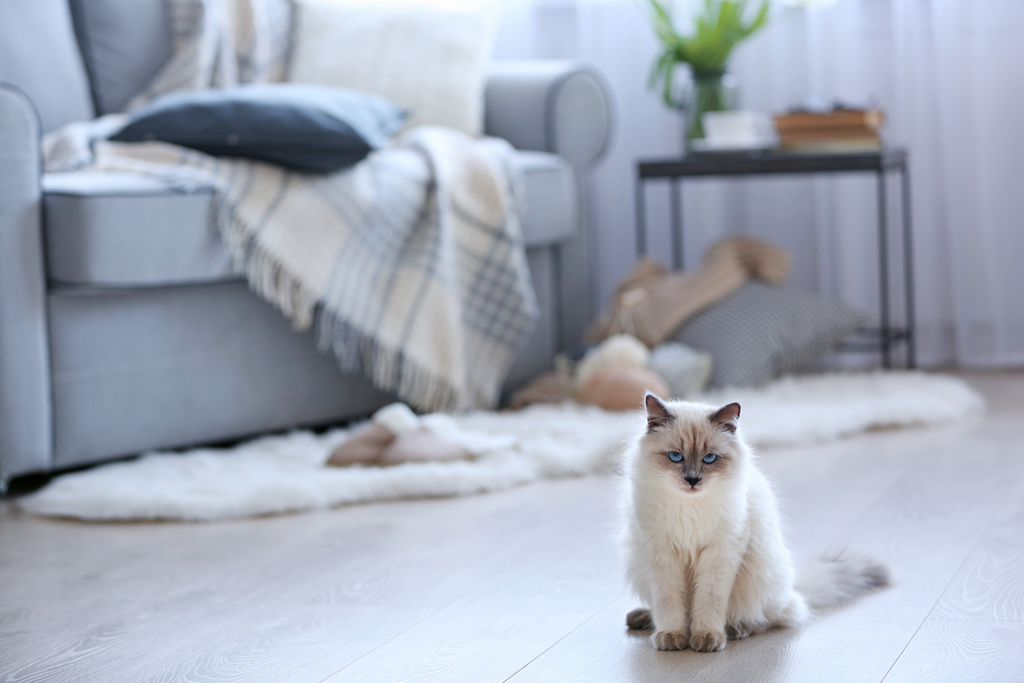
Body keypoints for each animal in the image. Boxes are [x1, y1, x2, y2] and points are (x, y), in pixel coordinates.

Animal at [614, 393, 888, 655]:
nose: (692, 480)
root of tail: (792, 586)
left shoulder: (720, 552)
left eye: (709, 458)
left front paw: (705, 638)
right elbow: (668, 603)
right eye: (675, 456)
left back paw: (735, 629)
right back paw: (643, 619)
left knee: (773, 617)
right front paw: (673, 637)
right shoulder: (661, 553)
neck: (690, 507)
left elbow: (709, 601)